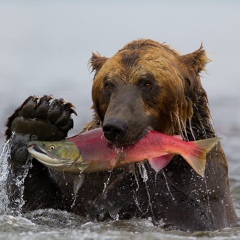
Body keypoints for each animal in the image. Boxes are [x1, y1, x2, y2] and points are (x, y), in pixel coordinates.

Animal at [4, 39, 237, 232]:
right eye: (108, 84)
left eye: (147, 83)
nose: (115, 126)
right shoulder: (77, 184)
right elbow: (38, 205)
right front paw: (39, 119)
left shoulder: (205, 180)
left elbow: (200, 215)